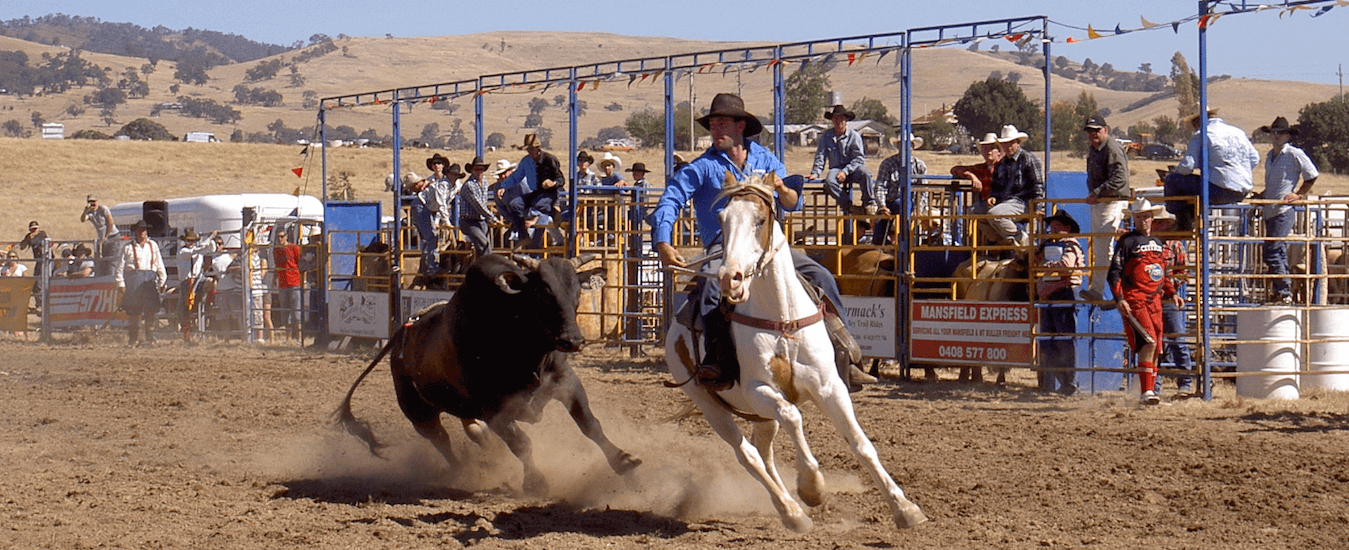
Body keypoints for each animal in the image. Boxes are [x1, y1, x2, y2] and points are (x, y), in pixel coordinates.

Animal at [331, 253, 636, 493]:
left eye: (576, 293)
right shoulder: (494, 409)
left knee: (475, 433)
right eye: (542, 292)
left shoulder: (566, 383)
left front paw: (623, 460)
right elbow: (521, 443)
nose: (572, 340)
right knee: (442, 441)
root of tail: (402, 335)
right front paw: (535, 482)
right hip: (418, 412)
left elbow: (590, 425)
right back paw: (463, 472)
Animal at [663, 172, 928, 533]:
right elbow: (793, 416)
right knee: (748, 454)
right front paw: (812, 487)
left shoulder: (830, 387)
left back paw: (789, 507)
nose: (729, 278)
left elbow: (861, 444)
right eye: (722, 219)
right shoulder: (761, 390)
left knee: (764, 451)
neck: (781, 318)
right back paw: (792, 510)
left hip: (760, 414)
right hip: (709, 403)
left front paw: (905, 508)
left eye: (760, 219)